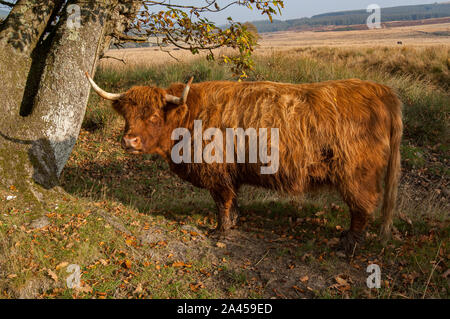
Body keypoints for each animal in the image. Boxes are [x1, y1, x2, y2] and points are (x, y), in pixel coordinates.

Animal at [86, 73, 402, 255]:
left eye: (153, 116)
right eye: (127, 116)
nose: (129, 141)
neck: (188, 119)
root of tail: (381, 91)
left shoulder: (216, 171)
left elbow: (222, 201)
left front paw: (220, 231)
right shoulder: (230, 172)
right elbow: (232, 200)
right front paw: (234, 223)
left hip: (356, 174)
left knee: (362, 207)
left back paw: (347, 244)